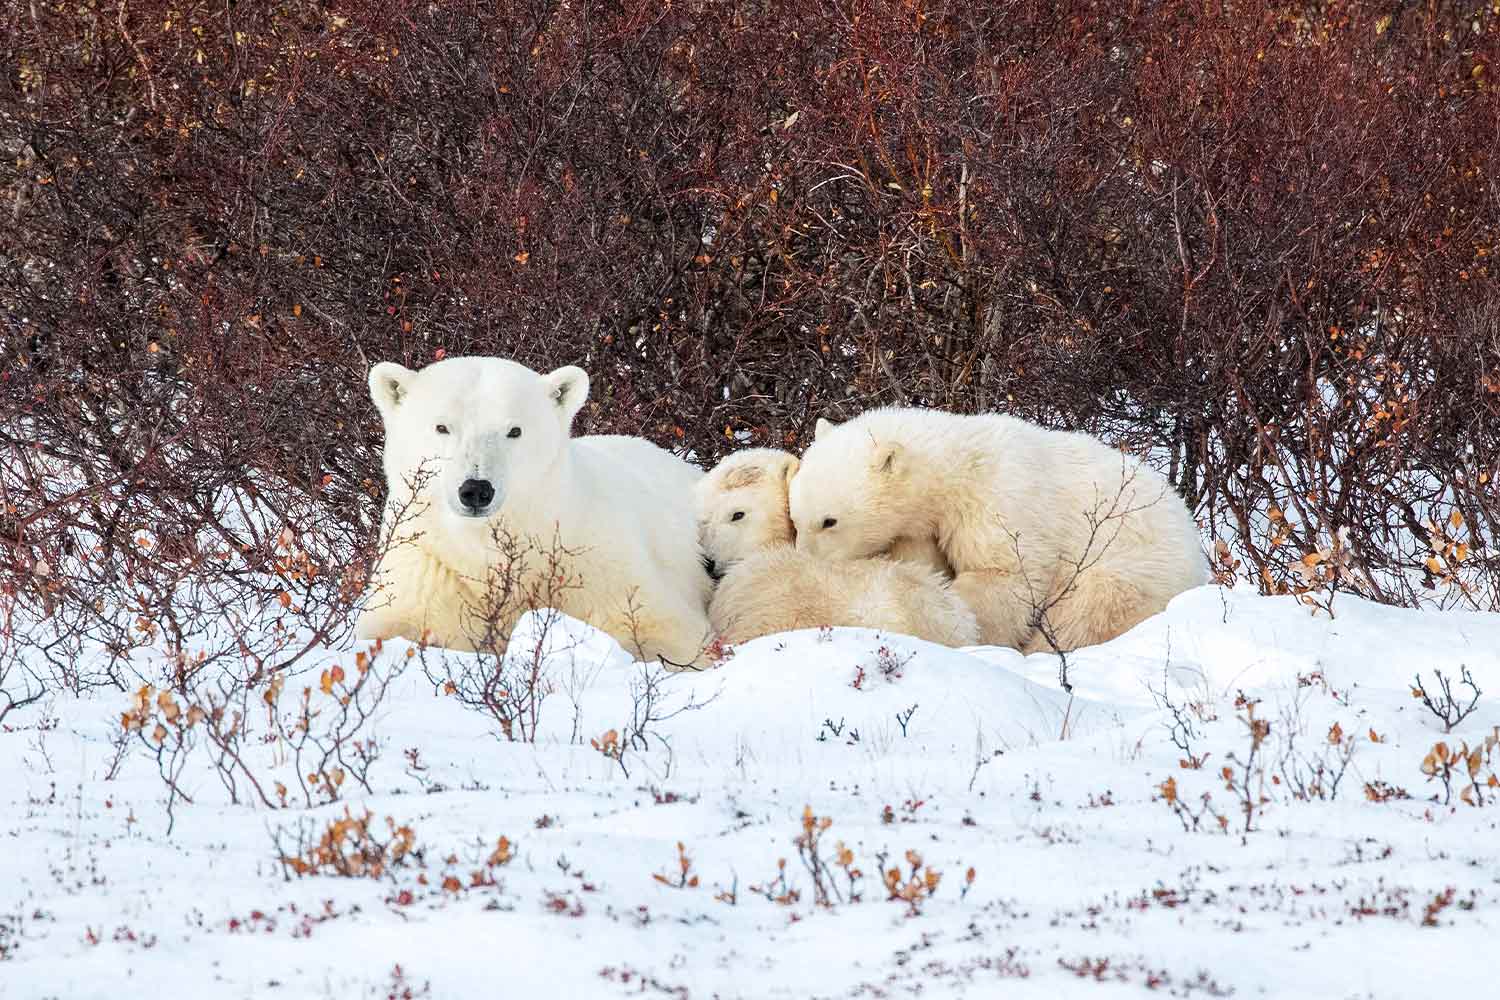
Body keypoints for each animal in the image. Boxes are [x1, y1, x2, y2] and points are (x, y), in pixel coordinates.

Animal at [354, 355, 713, 667]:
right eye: (442, 427)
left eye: (514, 430)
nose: (476, 489)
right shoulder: (427, 557)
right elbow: (403, 620)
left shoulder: (591, 560)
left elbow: (664, 629)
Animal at [789, 409, 1208, 653]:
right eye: (795, 516)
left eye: (829, 521)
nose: (803, 559)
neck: (959, 467)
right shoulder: (922, 528)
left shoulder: (1000, 501)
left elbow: (1003, 575)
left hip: (1129, 570)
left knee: (1084, 612)